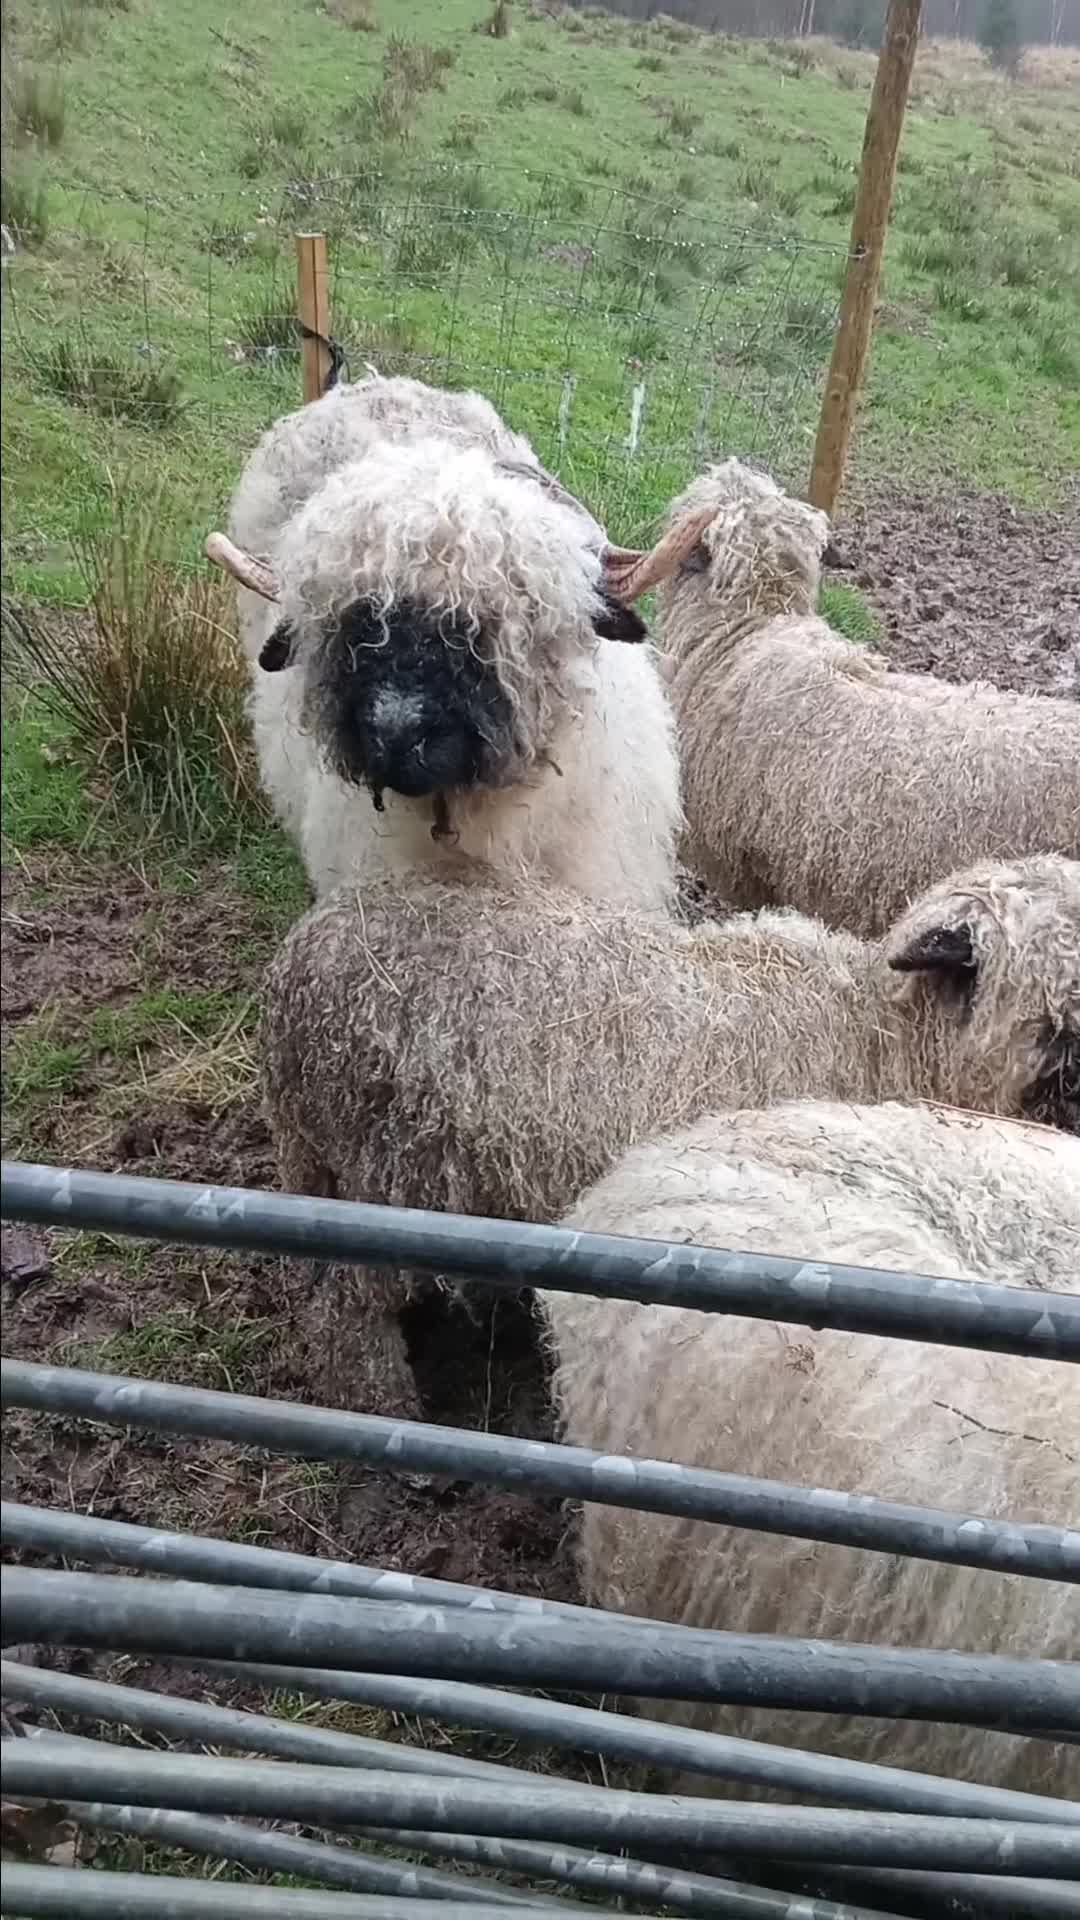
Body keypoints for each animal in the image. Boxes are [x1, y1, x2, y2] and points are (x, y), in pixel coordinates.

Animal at [261, 852, 1079, 1417]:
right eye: (1063, 1008)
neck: (880, 1036)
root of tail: (296, 966)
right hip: (386, 1172)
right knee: (345, 1306)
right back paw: (382, 1404)